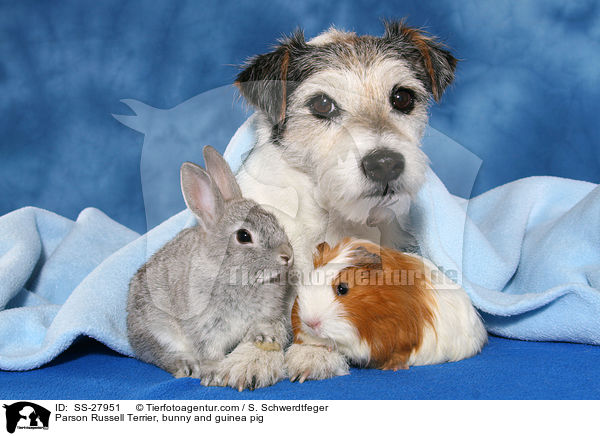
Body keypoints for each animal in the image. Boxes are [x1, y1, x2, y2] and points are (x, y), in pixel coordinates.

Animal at [127, 145, 296, 390]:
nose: (287, 255)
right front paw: (214, 373)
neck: (234, 275)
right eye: (244, 236)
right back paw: (185, 367)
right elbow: (209, 351)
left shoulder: (265, 314)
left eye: (272, 219)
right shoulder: (204, 327)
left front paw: (264, 337)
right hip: (158, 330)